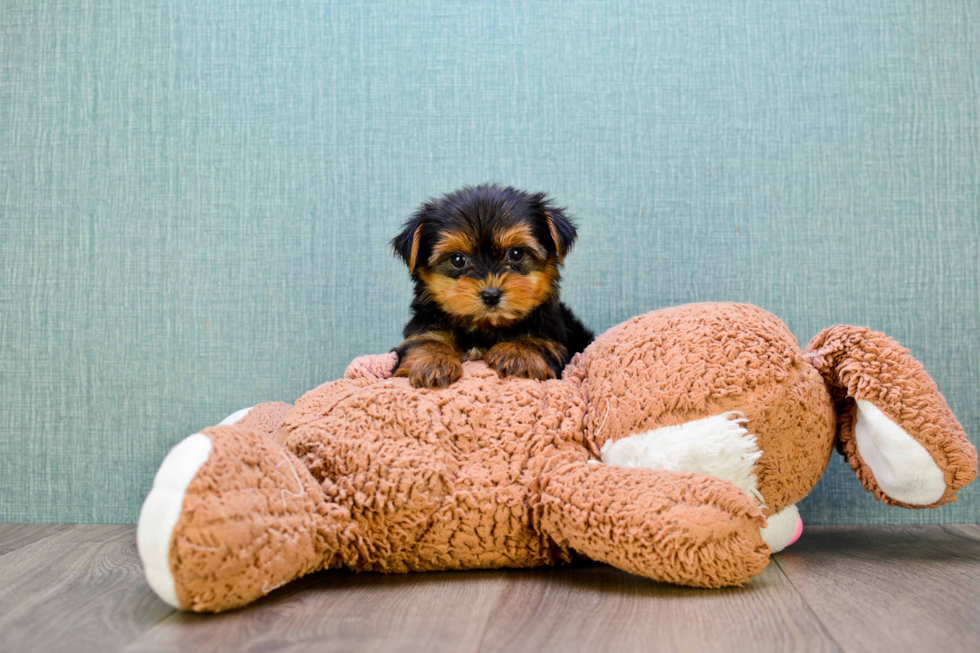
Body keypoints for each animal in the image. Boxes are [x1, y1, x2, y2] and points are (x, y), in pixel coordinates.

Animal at [388, 183, 588, 388]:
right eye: (457, 260)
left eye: (516, 253)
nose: (491, 295)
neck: (486, 326)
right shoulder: (423, 328)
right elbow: (425, 341)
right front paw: (433, 362)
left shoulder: (551, 336)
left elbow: (539, 342)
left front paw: (518, 352)